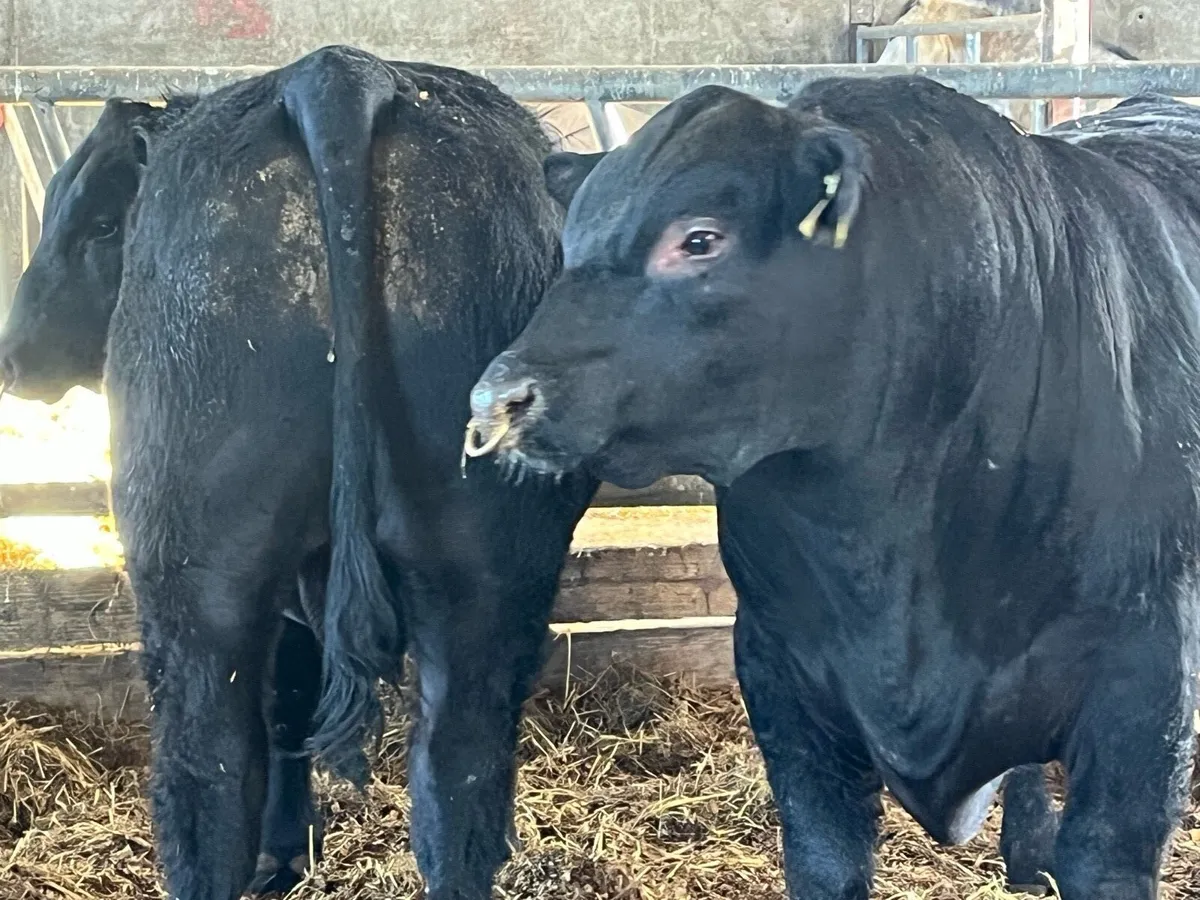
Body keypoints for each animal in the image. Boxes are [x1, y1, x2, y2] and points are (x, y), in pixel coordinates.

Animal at [0, 45, 599, 900]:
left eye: (104, 223)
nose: (15, 358)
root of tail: (339, 71)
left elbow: (286, 699)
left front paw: (287, 852)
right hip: (483, 566)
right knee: (458, 779)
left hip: (193, 566)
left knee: (208, 777)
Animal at [464, 79, 1200, 900]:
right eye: (573, 244)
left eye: (699, 239)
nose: (498, 400)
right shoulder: (779, 666)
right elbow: (825, 857)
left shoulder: (1145, 678)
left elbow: (1104, 856)